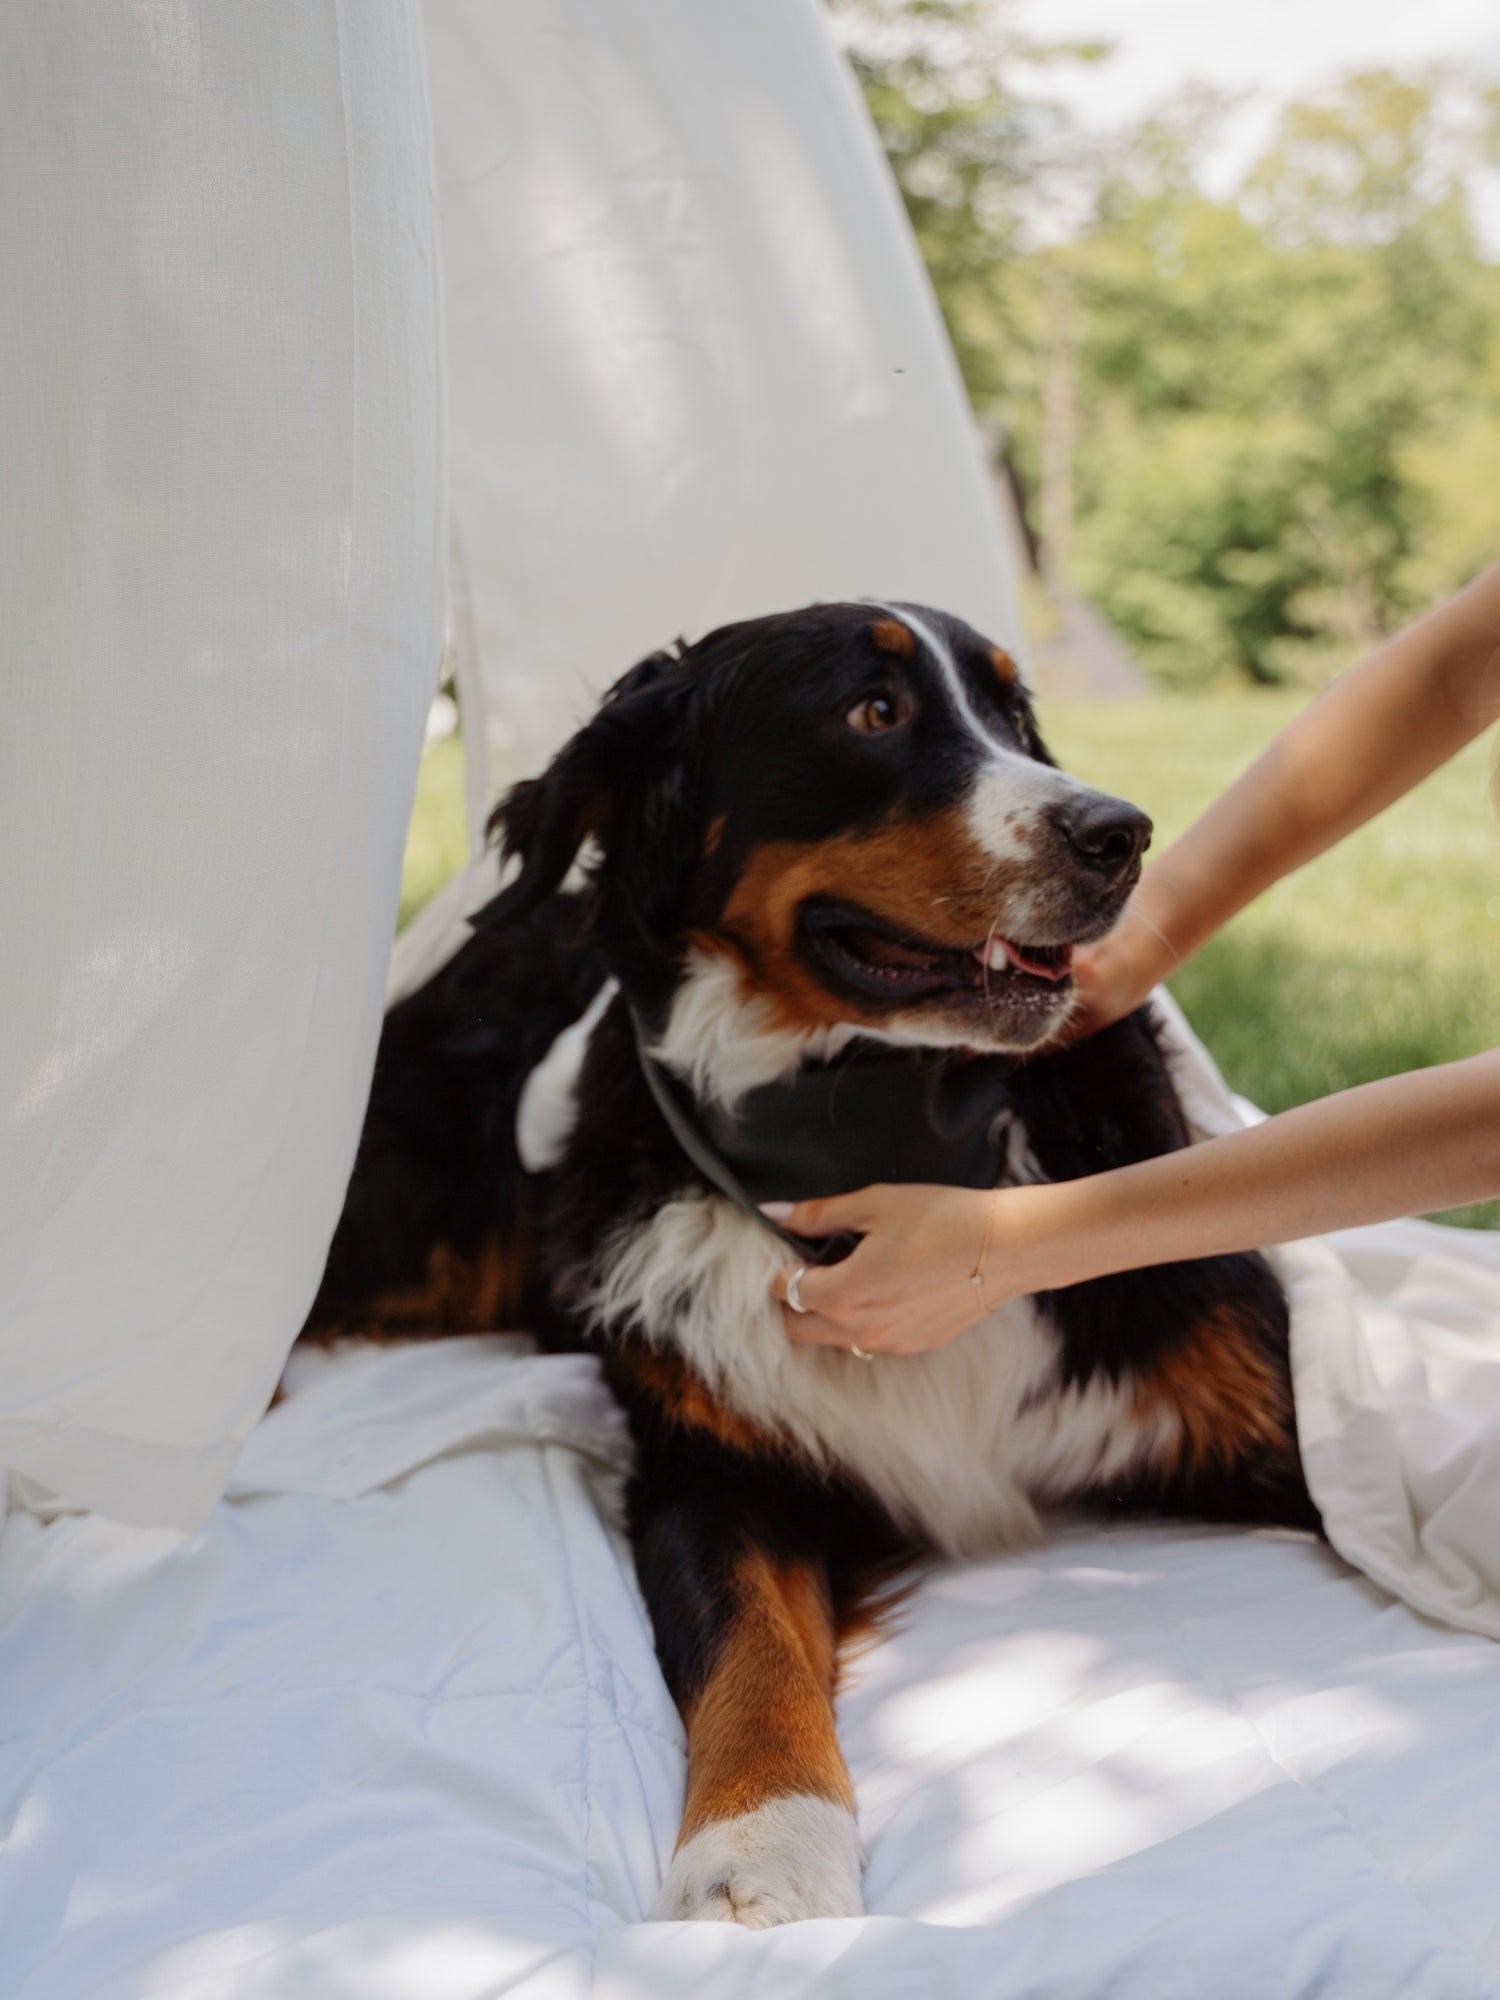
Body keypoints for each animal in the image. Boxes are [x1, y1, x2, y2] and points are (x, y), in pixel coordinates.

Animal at [302, 600, 1312, 1928]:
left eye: (1014, 715)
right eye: (872, 711)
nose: (1122, 834)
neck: (878, 1136)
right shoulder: (712, 1463)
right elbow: (750, 1652)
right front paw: (762, 1848)